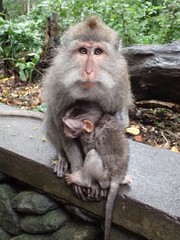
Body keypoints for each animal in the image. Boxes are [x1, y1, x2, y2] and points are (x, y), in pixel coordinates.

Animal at [43, 15, 132, 199]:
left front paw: (97, 183)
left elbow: (119, 120)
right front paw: (80, 173)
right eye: (83, 51)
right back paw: (63, 158)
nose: (89, 71)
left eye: (98, 52)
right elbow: (59, 121)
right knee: (51, 121)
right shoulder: (58, 81)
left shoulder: (120, 82)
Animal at [62, 102, 130, 240]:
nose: (63, 131)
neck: (99, 121)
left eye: (68, 126)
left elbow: (90, 147)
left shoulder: (91, 136)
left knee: (93, 154)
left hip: (103, 175)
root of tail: (118, 175)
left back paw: (83, 180)